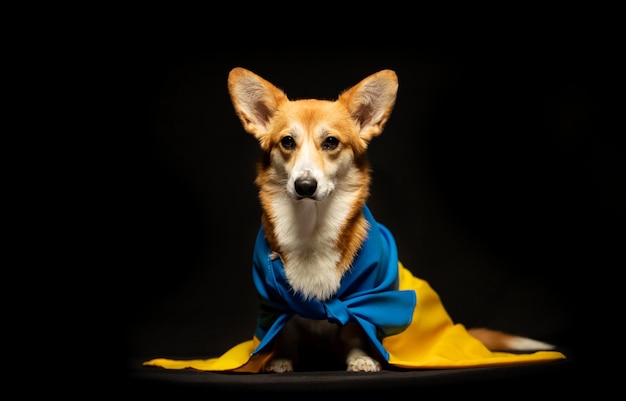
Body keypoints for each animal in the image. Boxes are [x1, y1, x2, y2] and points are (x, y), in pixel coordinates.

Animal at [227, 66, 552, 372]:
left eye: (331, 142)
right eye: (287, 142)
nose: (305, 185)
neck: (311, 227)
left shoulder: (368, 297)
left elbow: (355, 328)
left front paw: (360, 358)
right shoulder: (276, 303)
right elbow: (286, 330)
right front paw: (281, 358)